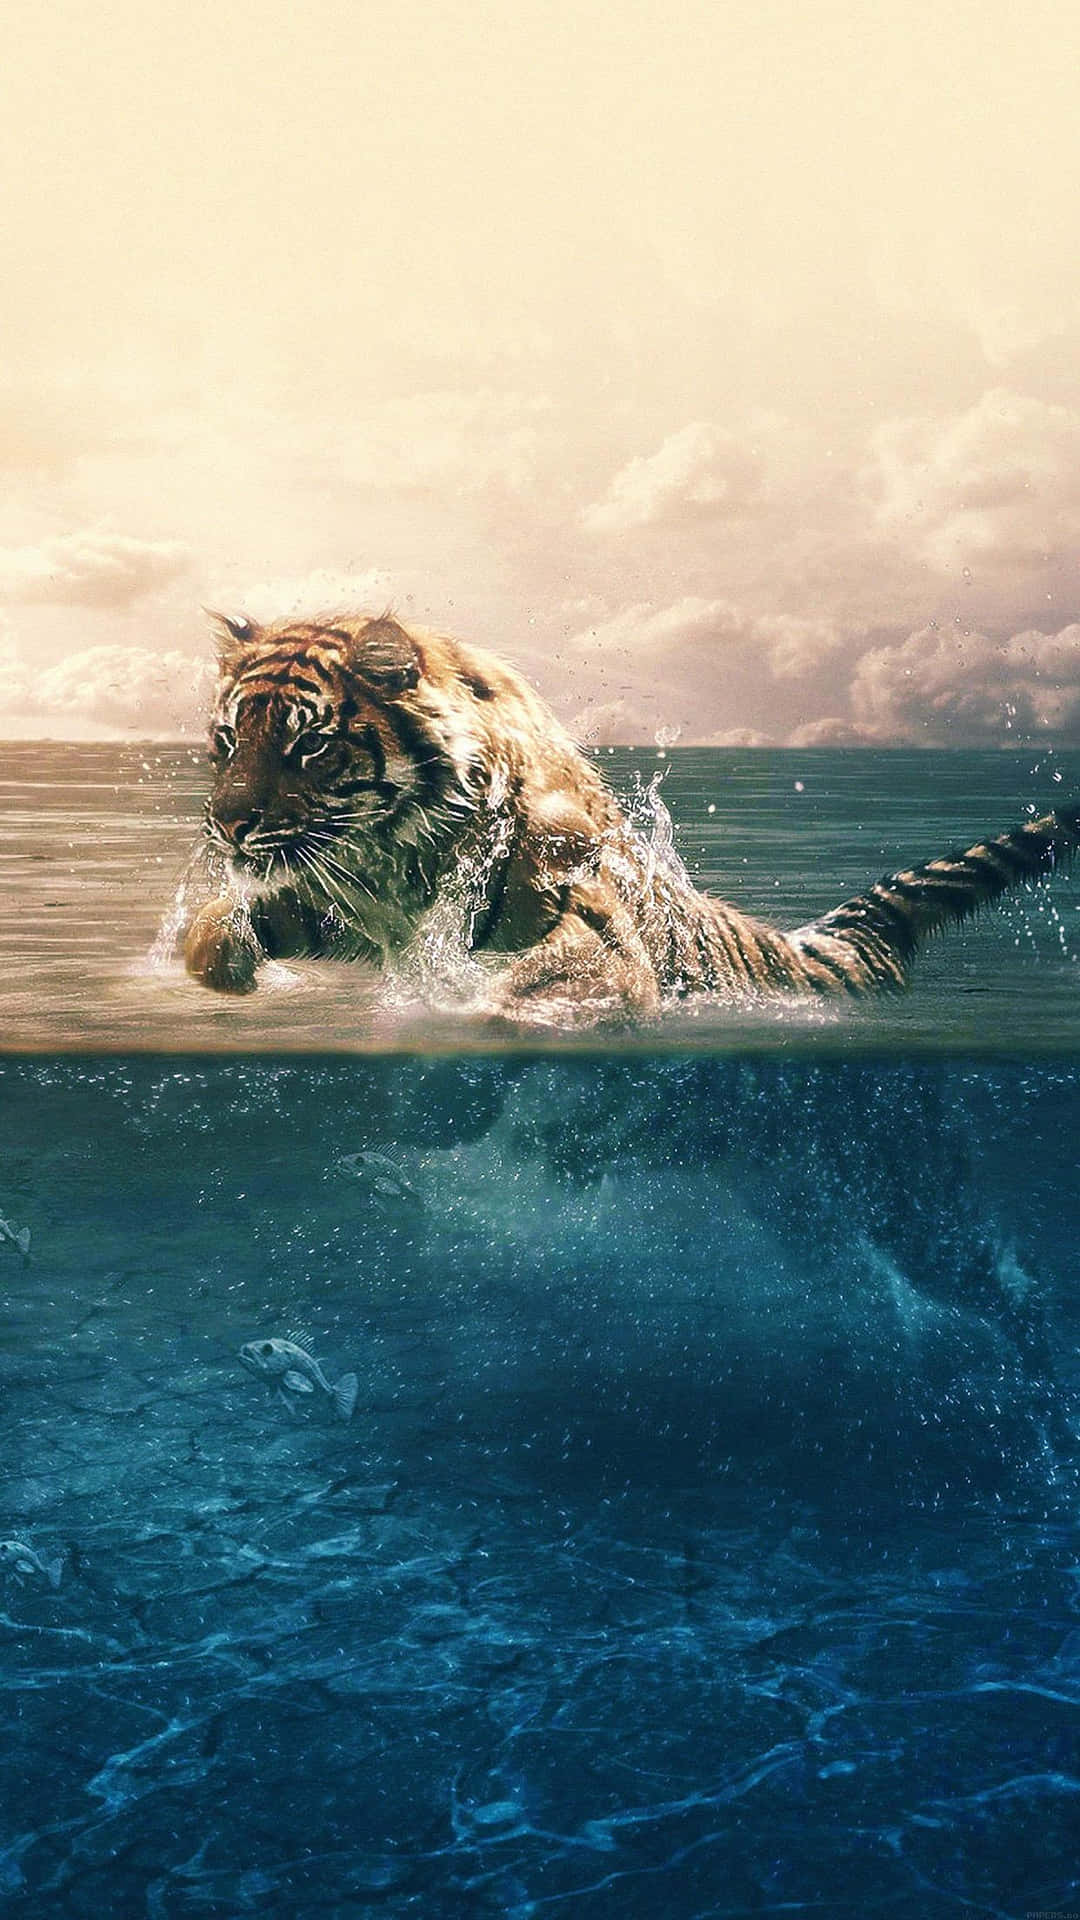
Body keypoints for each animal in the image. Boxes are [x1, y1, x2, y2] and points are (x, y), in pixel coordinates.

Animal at [183, 607, 1080, 1019]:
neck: (394, 860)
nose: (226, 825)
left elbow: (548, 981)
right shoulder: (337, 905)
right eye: (227, 739)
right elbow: (214, 930)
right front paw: (228, 972)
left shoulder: (592, 927)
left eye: (308, 746)